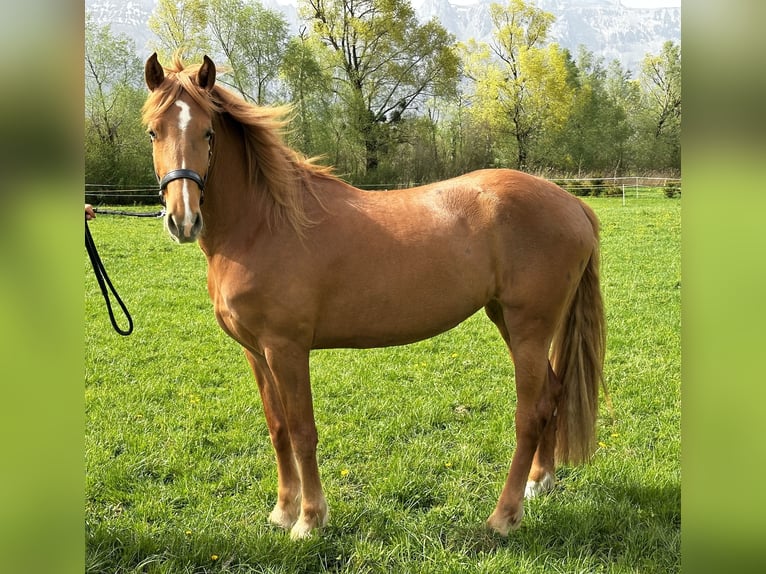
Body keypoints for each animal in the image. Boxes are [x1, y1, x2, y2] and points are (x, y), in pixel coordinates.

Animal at [142, 53, 608, 540]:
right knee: (553, 394)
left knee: (530, 413)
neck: (265, 223)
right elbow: (278, 429)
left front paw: (309, 520)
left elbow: (302, 431)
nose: (182, 219)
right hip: (508, 320)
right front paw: (283, 511)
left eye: (208, 132)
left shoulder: (287, 349)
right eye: (154, 131)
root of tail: (574, 205)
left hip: (528, 328)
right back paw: (540, 482)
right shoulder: (256, 351)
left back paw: (504, 515)